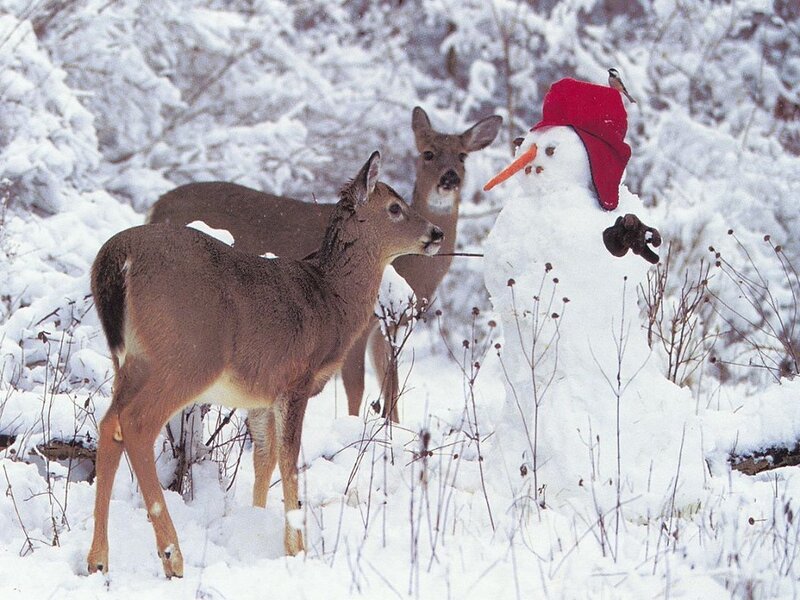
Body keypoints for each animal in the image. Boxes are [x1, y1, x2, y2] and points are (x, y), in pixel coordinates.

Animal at [87, 152, 443, 577]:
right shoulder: (296, 379)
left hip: (131, 360)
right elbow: (289, 460)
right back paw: (172, 555)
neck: (331, 300)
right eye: (394, 207)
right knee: (136, 423)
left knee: (109, 423)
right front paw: (297, 548)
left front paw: (253, 525)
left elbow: (264, 458)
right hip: (187, 356)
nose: (437, 233)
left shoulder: (260, 396)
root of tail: (117, 256)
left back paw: (98, 559)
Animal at [149, 107, 502, 424]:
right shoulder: (362, 326)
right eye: (428, 153)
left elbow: (392, 387)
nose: (449, 178)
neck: (410, 271)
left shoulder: (389, 327)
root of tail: (157, 205)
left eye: (462, 157)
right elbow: (357, 387)